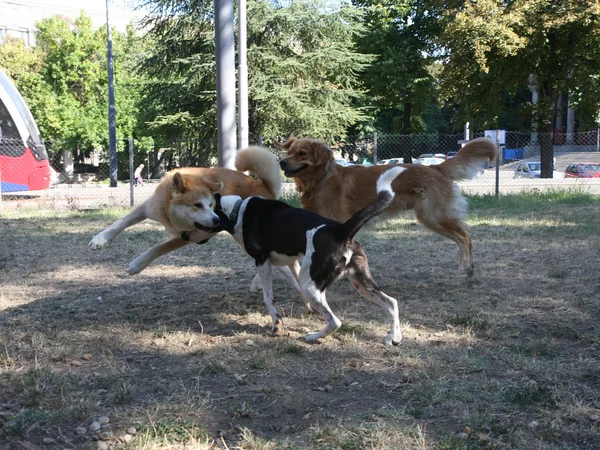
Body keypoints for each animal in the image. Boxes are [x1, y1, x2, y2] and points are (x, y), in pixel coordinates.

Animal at [88, 147, 280, 274]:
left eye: (211, 205)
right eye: (197, 205)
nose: (217, 220)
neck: (167, 216)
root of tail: (265, 189)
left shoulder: (189, 236)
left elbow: (158, 248)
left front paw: (137, 264)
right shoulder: (147, 208)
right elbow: (120, 223)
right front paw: (99, 240)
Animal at [213, 165, 406, 344]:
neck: (236, 210)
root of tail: (340, 230)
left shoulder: (262, 261)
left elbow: (268, 298)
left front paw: (276, 323)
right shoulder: (287, 262)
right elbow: (291, 282)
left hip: (312, 285)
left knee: (335, 321)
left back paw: (313, 336)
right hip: (361, 283)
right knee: (392, 303)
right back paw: (394, 337)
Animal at [276, 136, 496, 278]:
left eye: (302, 153)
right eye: (289, 152)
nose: (282, 162)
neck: (321, 179)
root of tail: (436, 167)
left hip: (434, 216)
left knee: (465, 237)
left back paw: (468, 267)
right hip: (434, 218)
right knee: (460, 237)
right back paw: (462, 267)